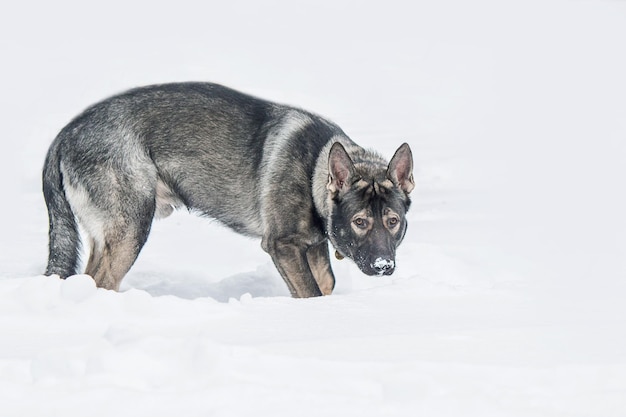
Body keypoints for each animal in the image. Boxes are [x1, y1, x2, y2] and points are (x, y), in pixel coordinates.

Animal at [44, 82, 414, 296]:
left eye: (393, 222)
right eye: (359, 222)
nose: (383, 266)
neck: (313, 171)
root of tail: (66, 132)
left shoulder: (312, 247)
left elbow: (325, 285)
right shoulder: (282, 246)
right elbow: (310, 291)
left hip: (107, 236)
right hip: (130, 229)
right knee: (102, 282)